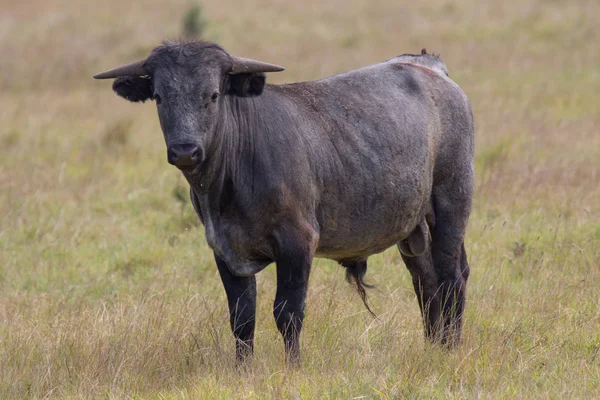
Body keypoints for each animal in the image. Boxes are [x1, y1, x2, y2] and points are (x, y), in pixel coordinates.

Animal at [95, 40, 474, 362]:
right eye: (159, 97)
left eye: (213, 95)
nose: (185, 150)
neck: (228, 182)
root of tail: (427, 66)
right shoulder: (224, 249)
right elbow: (242, 317)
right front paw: (243, 369)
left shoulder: (298, 242)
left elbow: (288, 312)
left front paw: (293, 365)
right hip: (413, 230)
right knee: (426, 284)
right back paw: (435, 347)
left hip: (451, 207)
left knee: (451, 278)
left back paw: (452, 349)